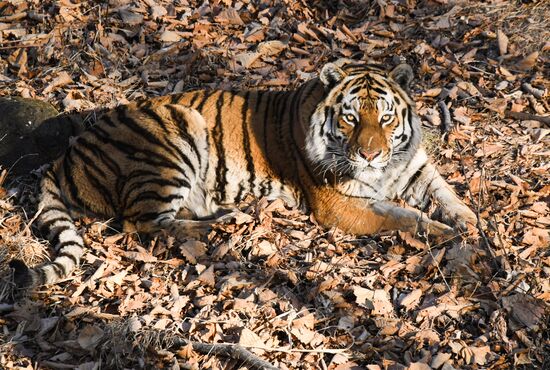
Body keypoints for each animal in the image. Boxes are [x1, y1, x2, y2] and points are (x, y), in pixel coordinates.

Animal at [10, 59, 480, 290]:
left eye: (385, 118)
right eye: (350, 118)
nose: (369, 154)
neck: (389, 167)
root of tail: (67, 154)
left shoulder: (415, 166)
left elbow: (444, 191)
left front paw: (467, 218)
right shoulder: (341, 206)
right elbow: (405, 218)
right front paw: (449, 236)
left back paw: (226, 217)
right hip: (175, 135)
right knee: (140, 223)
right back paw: (219, 227)